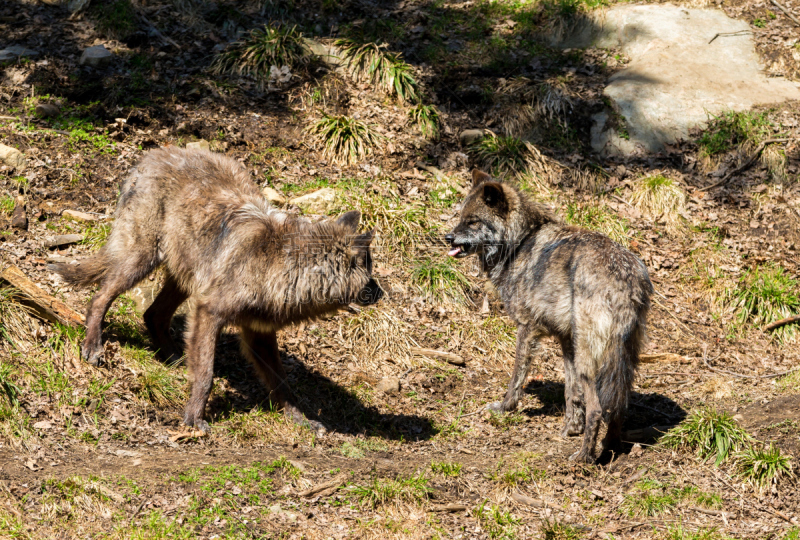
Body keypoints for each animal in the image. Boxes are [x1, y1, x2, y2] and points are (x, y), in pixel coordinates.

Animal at [51, 146, 382, 432]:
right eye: (369, 271)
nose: (381, 293)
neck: (278, 267)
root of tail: (149, 157)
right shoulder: (209, 313)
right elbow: (206, 375)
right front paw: (193, 419)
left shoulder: (258, 333)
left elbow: (282, 384)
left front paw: (300, 420)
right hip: (143, 260)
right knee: (100, 297)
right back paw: (93, 345)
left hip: (185, 280)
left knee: (152, 314)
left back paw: (172, 359)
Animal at [444, 170, 648, 464]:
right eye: (461, 217)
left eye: (473, 221)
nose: (447, 237)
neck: (519, 243)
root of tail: (625, 278)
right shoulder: (565, 340)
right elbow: (570, 391)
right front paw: (571, 427)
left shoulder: (527, 328)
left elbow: (517, 376)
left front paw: (505, 407)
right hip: (621, 358)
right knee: (619, 404)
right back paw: (609, 448)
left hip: (590, 358)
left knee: (598, 408)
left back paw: (584, 457)